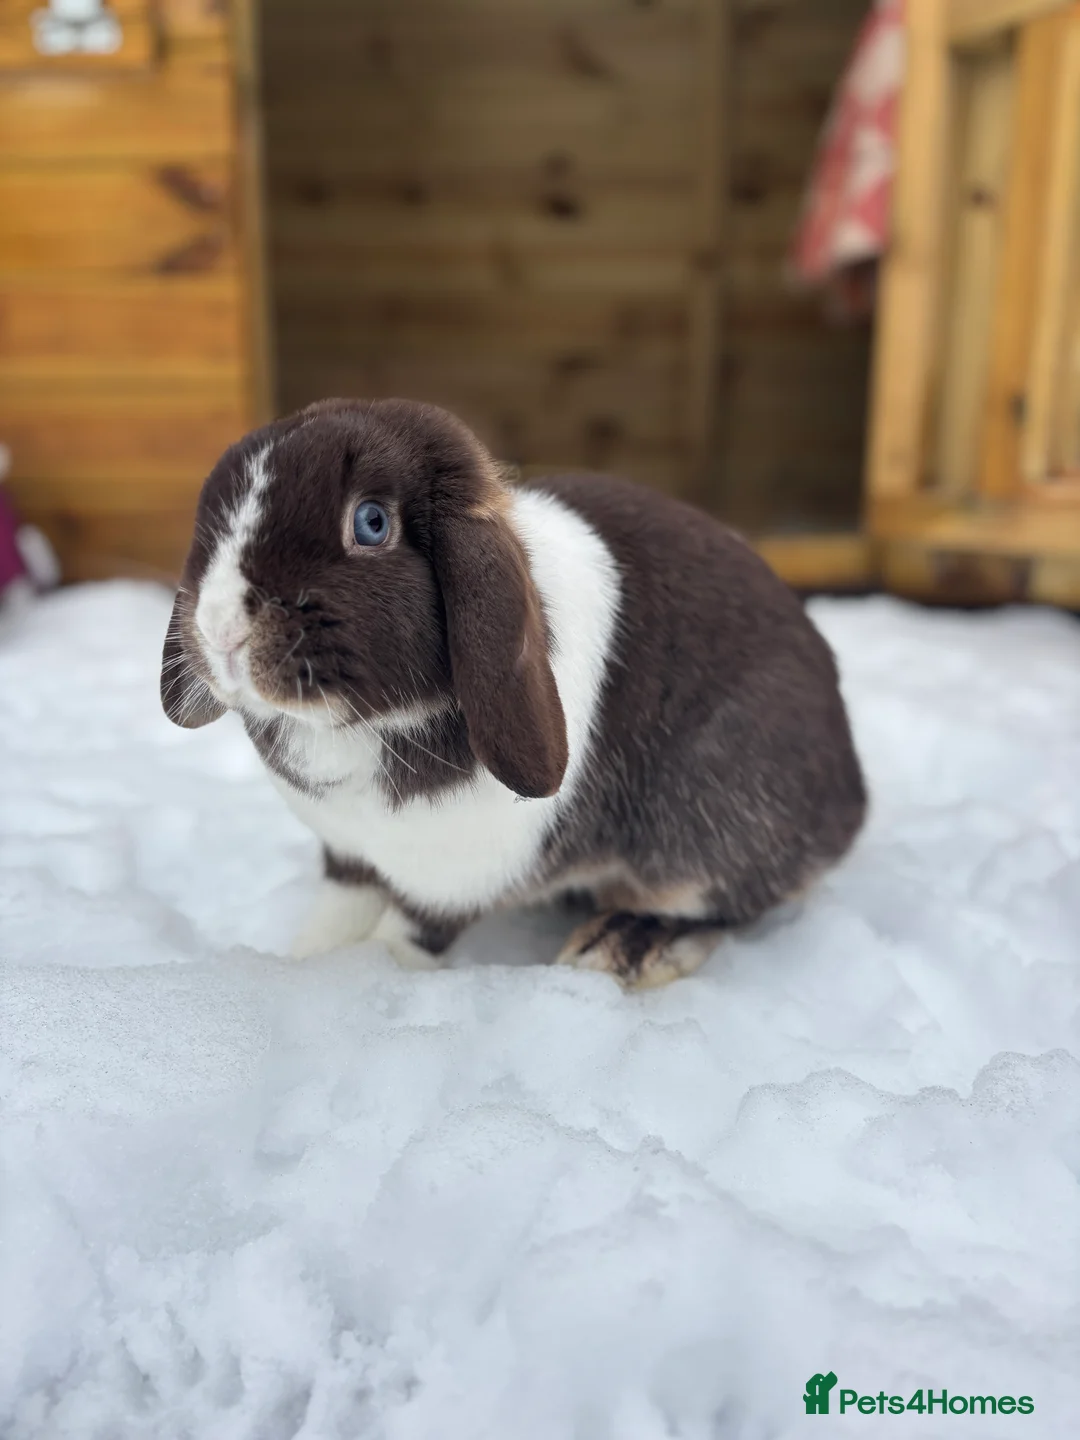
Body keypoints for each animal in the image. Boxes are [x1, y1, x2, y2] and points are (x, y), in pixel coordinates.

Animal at [161, 398, 866, 988]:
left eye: (371, 523)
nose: (220, 628)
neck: (355, 730)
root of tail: (851, 796)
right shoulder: (348, 856)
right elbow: (339, 910)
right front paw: (306, 965)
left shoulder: (447, 878)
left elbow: (409, 930)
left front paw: (373, 977)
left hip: (710, 825)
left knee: (720, 904)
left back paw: (620, 946)